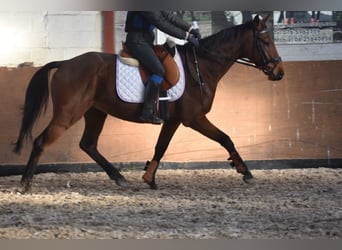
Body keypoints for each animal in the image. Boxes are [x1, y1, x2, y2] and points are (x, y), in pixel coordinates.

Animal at [13, 14, 284, 192]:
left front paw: (149, 178)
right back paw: (25, 184)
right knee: (41, 142)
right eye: (266, 42)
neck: (202, 66)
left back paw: (119, 177)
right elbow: (225, 138)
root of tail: (65, 63)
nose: (279, 73)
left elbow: (160, 147)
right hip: (68, 114)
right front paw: (246, 172)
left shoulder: (174, 120)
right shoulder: (194, 119)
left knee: (88, 144)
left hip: (95, 112)